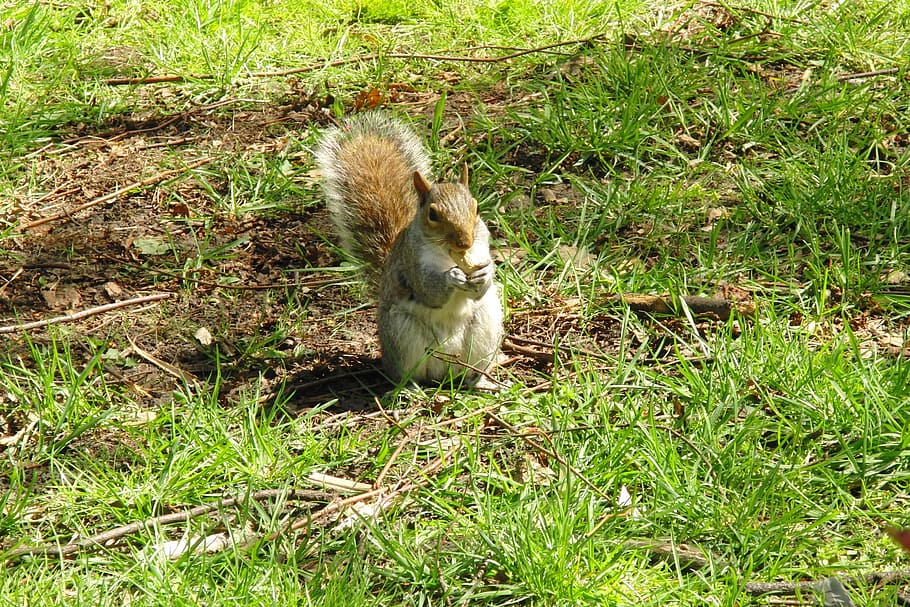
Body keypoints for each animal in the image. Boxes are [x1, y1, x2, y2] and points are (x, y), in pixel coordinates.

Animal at [315, 112, 504, 386]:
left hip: (485, 327)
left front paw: (484, 274)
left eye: (476, 208)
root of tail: (444, 373)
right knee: (406, 374)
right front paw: (452, 277)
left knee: (473, 370)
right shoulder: (412, 261)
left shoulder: (481, 245)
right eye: (433, 215)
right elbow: (428, 291)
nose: (465, 242)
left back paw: (480, 383)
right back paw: (409, 388)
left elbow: (480, 286)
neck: (449, 255)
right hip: (401, 334)